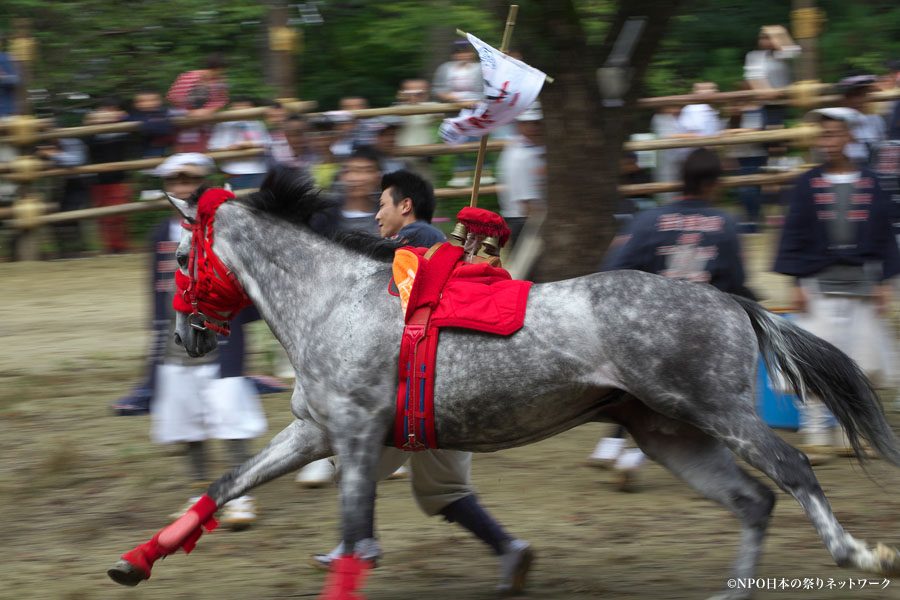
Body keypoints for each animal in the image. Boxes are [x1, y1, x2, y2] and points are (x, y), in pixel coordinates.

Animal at [110, 170, 900, 600]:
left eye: (181, 257)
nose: (185, 338)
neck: (331, 298)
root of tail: (732, 301)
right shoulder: (315, 432)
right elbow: (225, 485)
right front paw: (134, 563)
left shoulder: (358, 437)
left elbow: (356, 538)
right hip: (668, 431)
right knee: (752, 500)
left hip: (719, 411)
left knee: (791, 471)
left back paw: (859, 554)